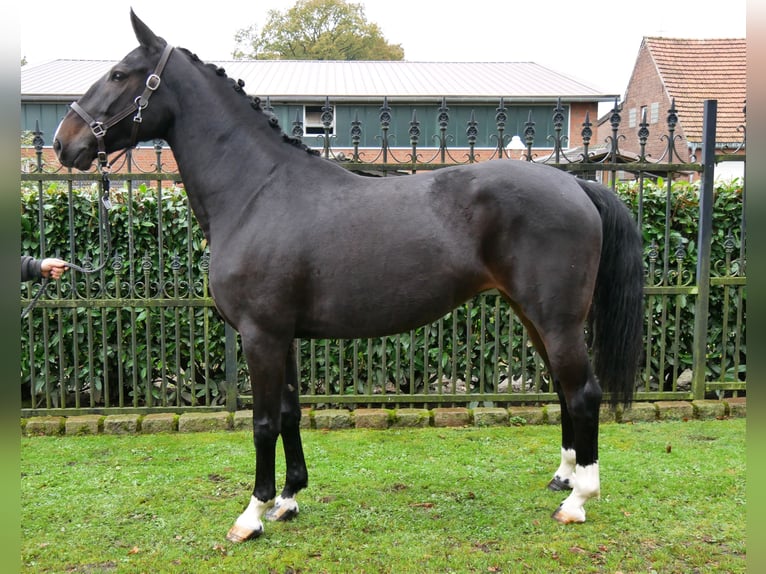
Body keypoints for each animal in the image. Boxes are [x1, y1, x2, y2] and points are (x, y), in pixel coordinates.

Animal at [52, 12, 648, 544]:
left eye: (119, 74)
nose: (64, 142)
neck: (257, 192)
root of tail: (576, 185)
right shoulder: (283, 337)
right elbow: (290, 413)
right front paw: (289, 499)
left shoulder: (260, 335)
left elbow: (263, 422)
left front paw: (252, 515)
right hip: (533, 317)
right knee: (565, 390)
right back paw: (563, 478)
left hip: (556, 319)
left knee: (584, 392)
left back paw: (579, 500)